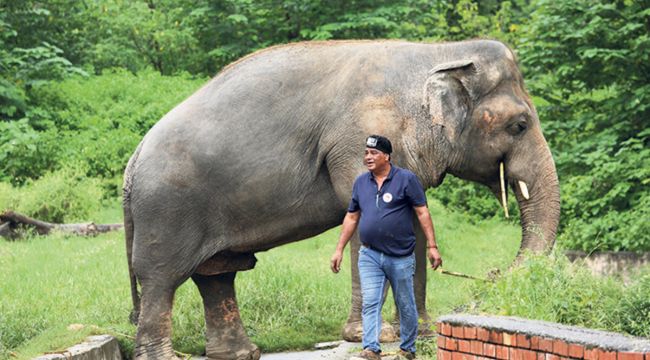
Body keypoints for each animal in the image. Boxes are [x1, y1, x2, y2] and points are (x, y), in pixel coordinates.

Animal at [124, 40, 560, 360]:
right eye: (519, 125)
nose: (494, 274)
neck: (435, 53)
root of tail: (133, 158)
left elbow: (414, 223)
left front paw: (420, 332)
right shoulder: (356, 142)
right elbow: (364, 219)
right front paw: (371, 335)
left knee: (217, 275)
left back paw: (240, 354)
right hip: (166, 211)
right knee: (162, 279)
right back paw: (166, 356)